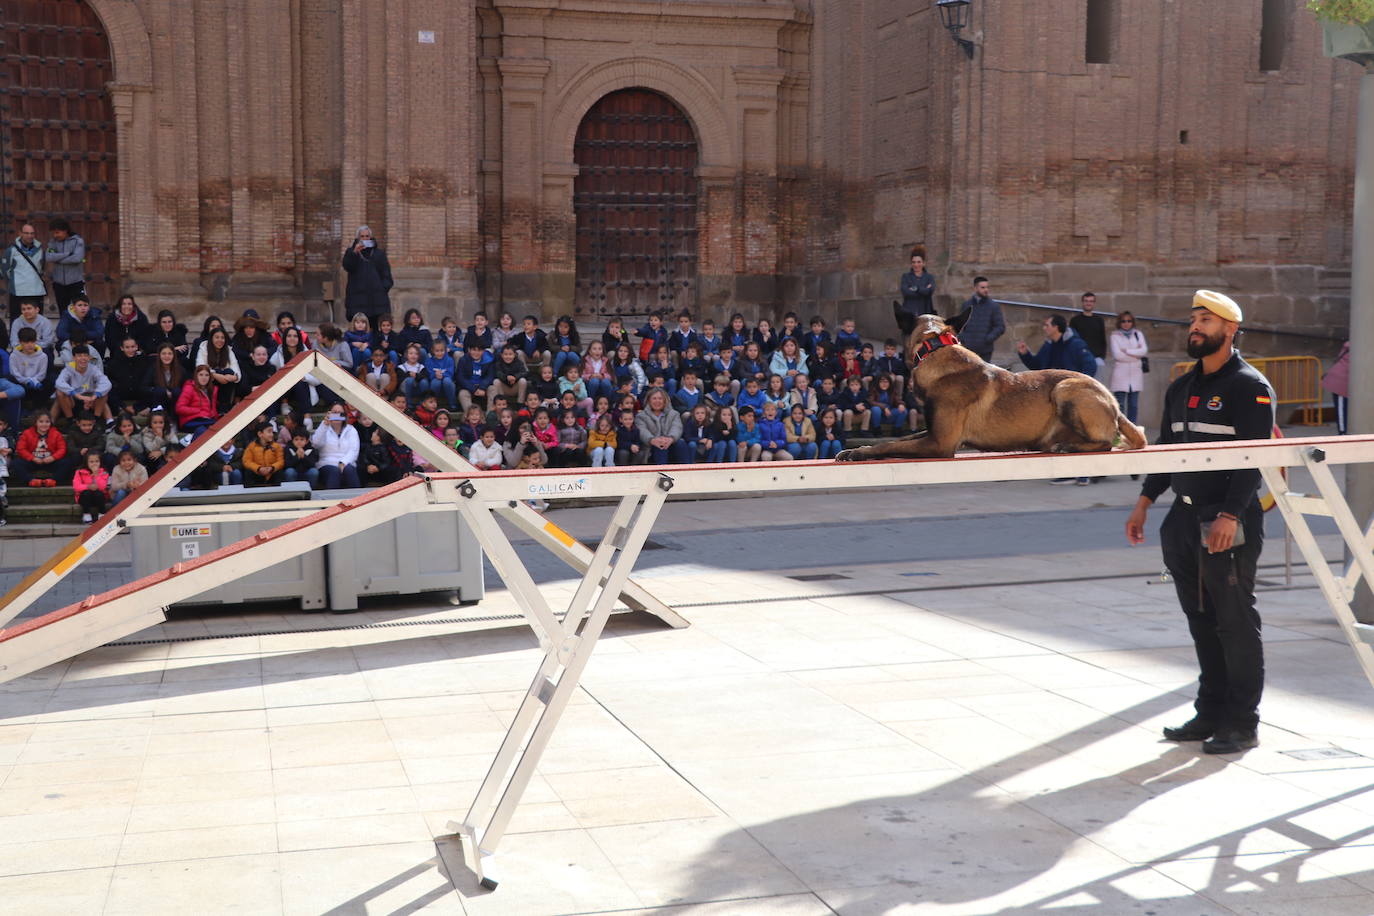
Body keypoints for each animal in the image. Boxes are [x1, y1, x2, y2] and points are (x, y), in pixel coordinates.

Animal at [835, 315, 1148, 461]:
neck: (937, 350)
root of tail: (1114, 403)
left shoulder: (940, 443)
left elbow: (890, 444)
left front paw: (859, 452)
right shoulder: (932, 432)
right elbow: (898, 439)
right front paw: (858, 448)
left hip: (1066, 388)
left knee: (1106, 442)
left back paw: (1068, 446)